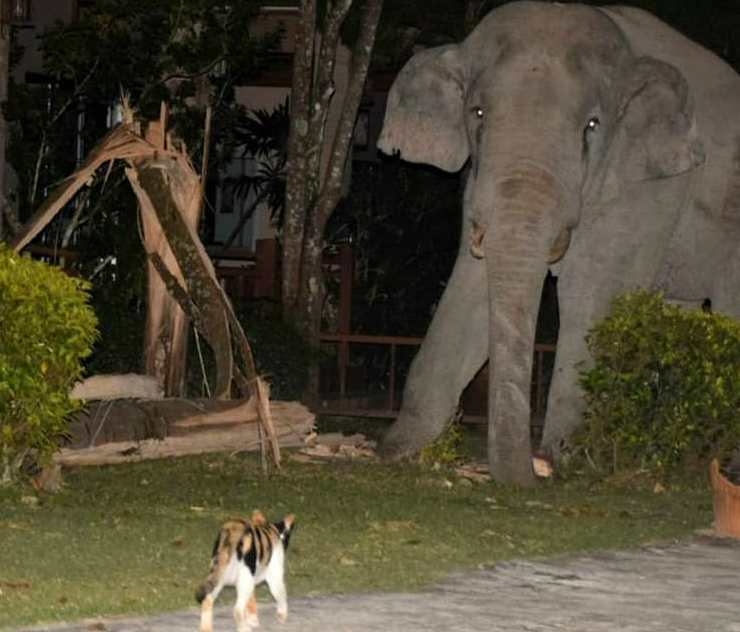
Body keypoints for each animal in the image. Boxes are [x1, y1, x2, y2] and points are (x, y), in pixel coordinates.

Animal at [378, 1, 740, 484]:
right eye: (477, 114)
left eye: (592, 125)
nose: (534, 471)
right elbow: (472, 287)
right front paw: (399, 449)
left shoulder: (648, 187)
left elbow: (588, 292)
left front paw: (570, 460)